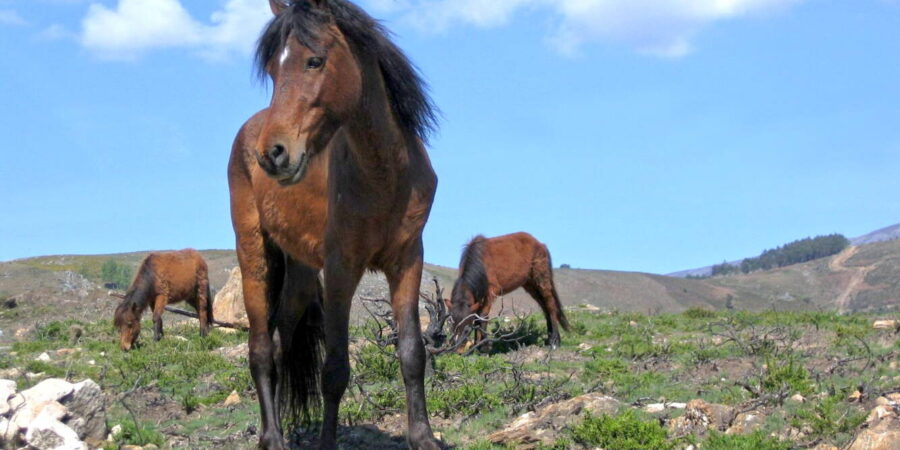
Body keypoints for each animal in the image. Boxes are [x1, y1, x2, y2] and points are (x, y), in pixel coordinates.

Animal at [230, 1, 442, 448]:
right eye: (272, 70)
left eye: (315, 61)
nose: (272, 154)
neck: (383, 176)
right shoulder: (342, 268)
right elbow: (335, 370)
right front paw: (327, 441)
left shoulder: (408, 260)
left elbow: (413, 353)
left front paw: (424, 437)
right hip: (254, 257)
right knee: (260, 350)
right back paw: (271, 438)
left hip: (300, 273)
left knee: (279, 344)